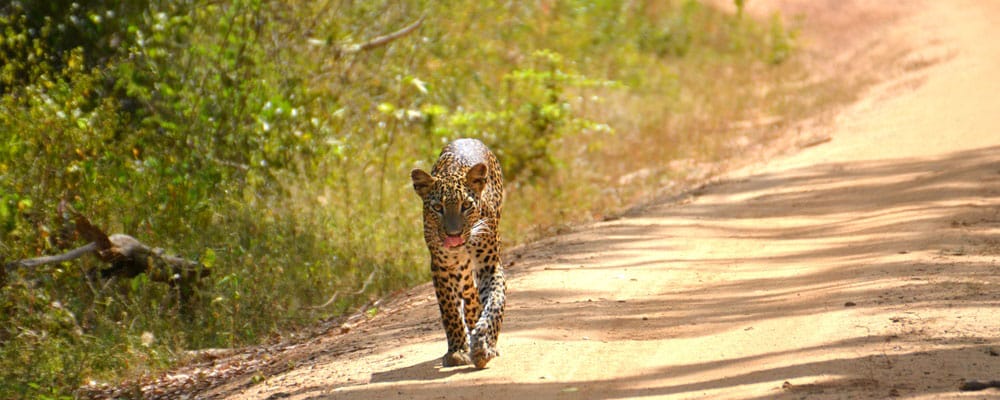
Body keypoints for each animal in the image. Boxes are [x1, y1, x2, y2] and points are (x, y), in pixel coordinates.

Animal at [408, 138, 504, 368]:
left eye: (466, 205)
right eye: (437, 207)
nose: (454, 235)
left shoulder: (489, 266)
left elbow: (495, 303)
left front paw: (485, 343)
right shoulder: (441, 268)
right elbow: (450, 310)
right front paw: (458, 351)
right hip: (461, 271)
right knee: (469, 296)